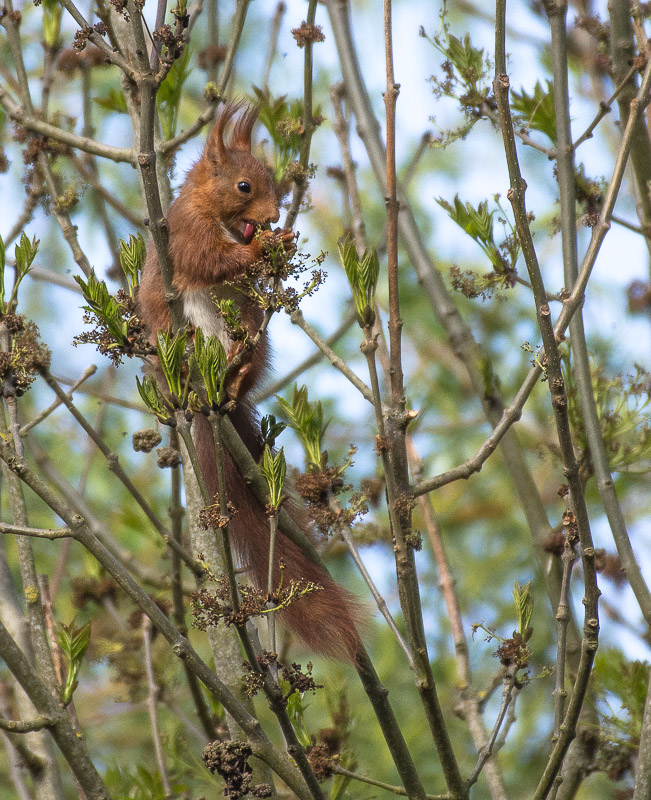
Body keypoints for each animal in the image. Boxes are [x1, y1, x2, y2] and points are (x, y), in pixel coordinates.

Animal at [139, 103, 362, 660]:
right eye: (244, 186)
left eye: (277, 186)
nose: (273, 219)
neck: (219, 217)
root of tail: (210, 399)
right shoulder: (182, 234)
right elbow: (208, 260)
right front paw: (263, 248)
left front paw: (276, 244)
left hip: (255, 335)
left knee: (247, 356)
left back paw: (237, 377)